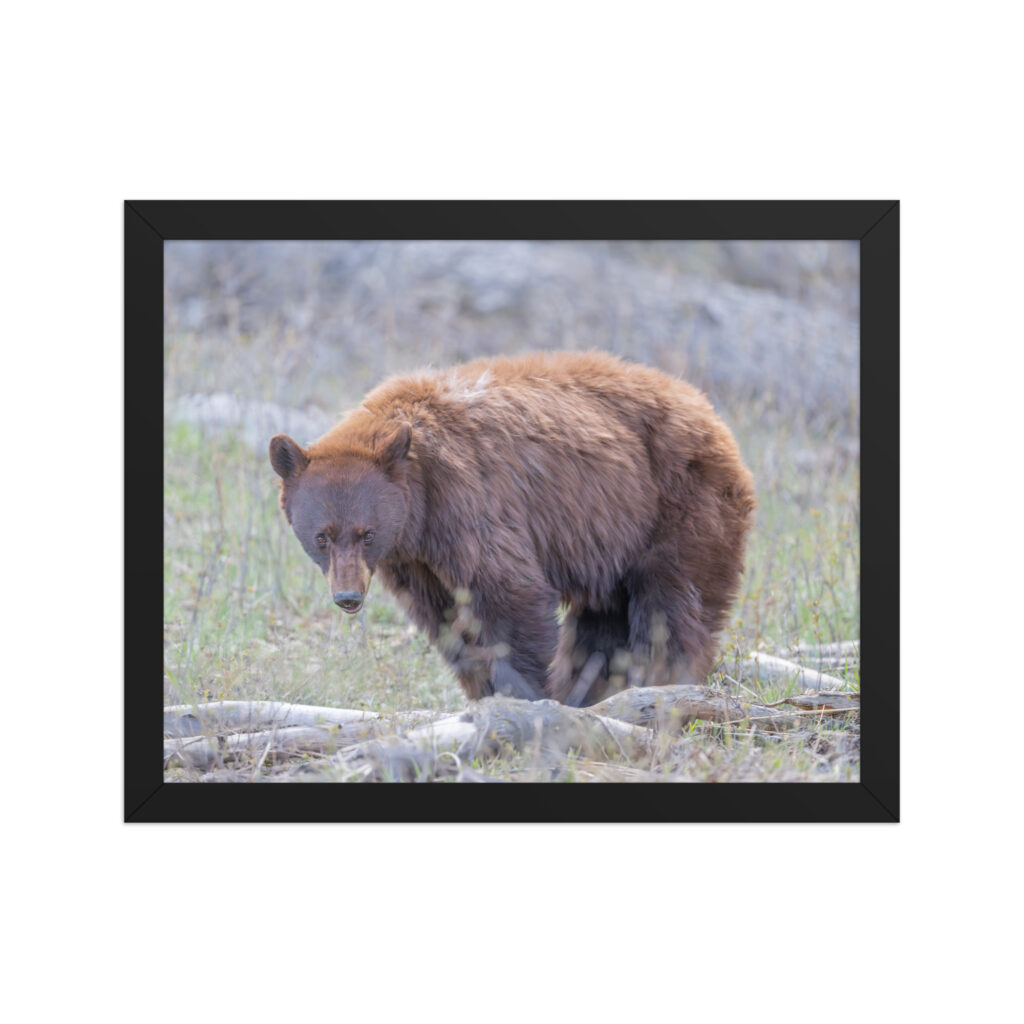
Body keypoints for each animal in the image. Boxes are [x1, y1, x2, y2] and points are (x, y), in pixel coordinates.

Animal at [269, 351, 755, 707]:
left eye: (366, 533)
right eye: (322, 537)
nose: (348, 597)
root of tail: (709, 412)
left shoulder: (470, 503)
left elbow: (509, 594)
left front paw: (524, 693)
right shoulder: (415, 560)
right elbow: (447, 619)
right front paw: (485, 690)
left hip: (678, 505)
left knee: (672, 606)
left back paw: (660, 681)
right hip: (613, 538)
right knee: (603, 622)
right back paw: (592, 689)